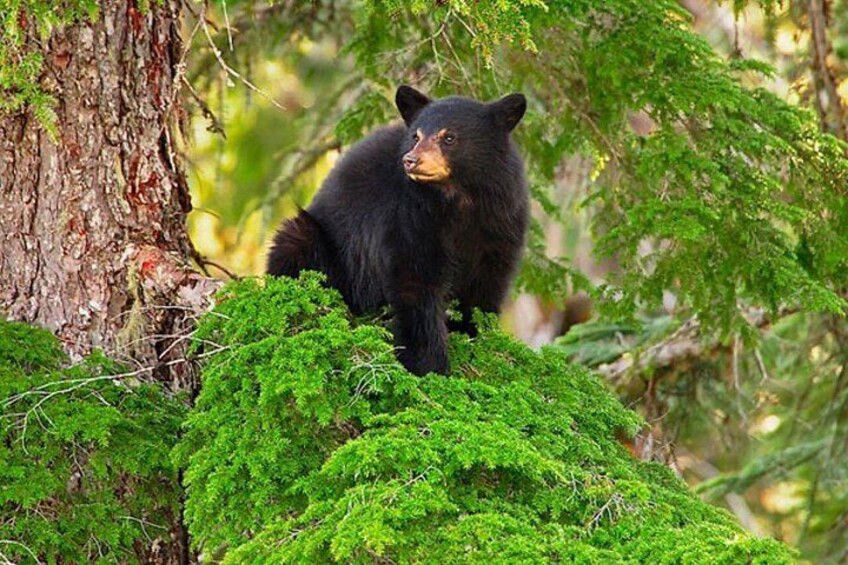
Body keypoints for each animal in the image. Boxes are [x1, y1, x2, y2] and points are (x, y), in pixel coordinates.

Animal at [267, 86, 529, 376]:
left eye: (449, 137)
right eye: (416, 136)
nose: (411, 160)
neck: (457, 200)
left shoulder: (500, 223)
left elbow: (486, 284)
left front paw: (473, 336)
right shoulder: (408, 217)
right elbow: (415, 282)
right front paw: (430, 364)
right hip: (318, 244)